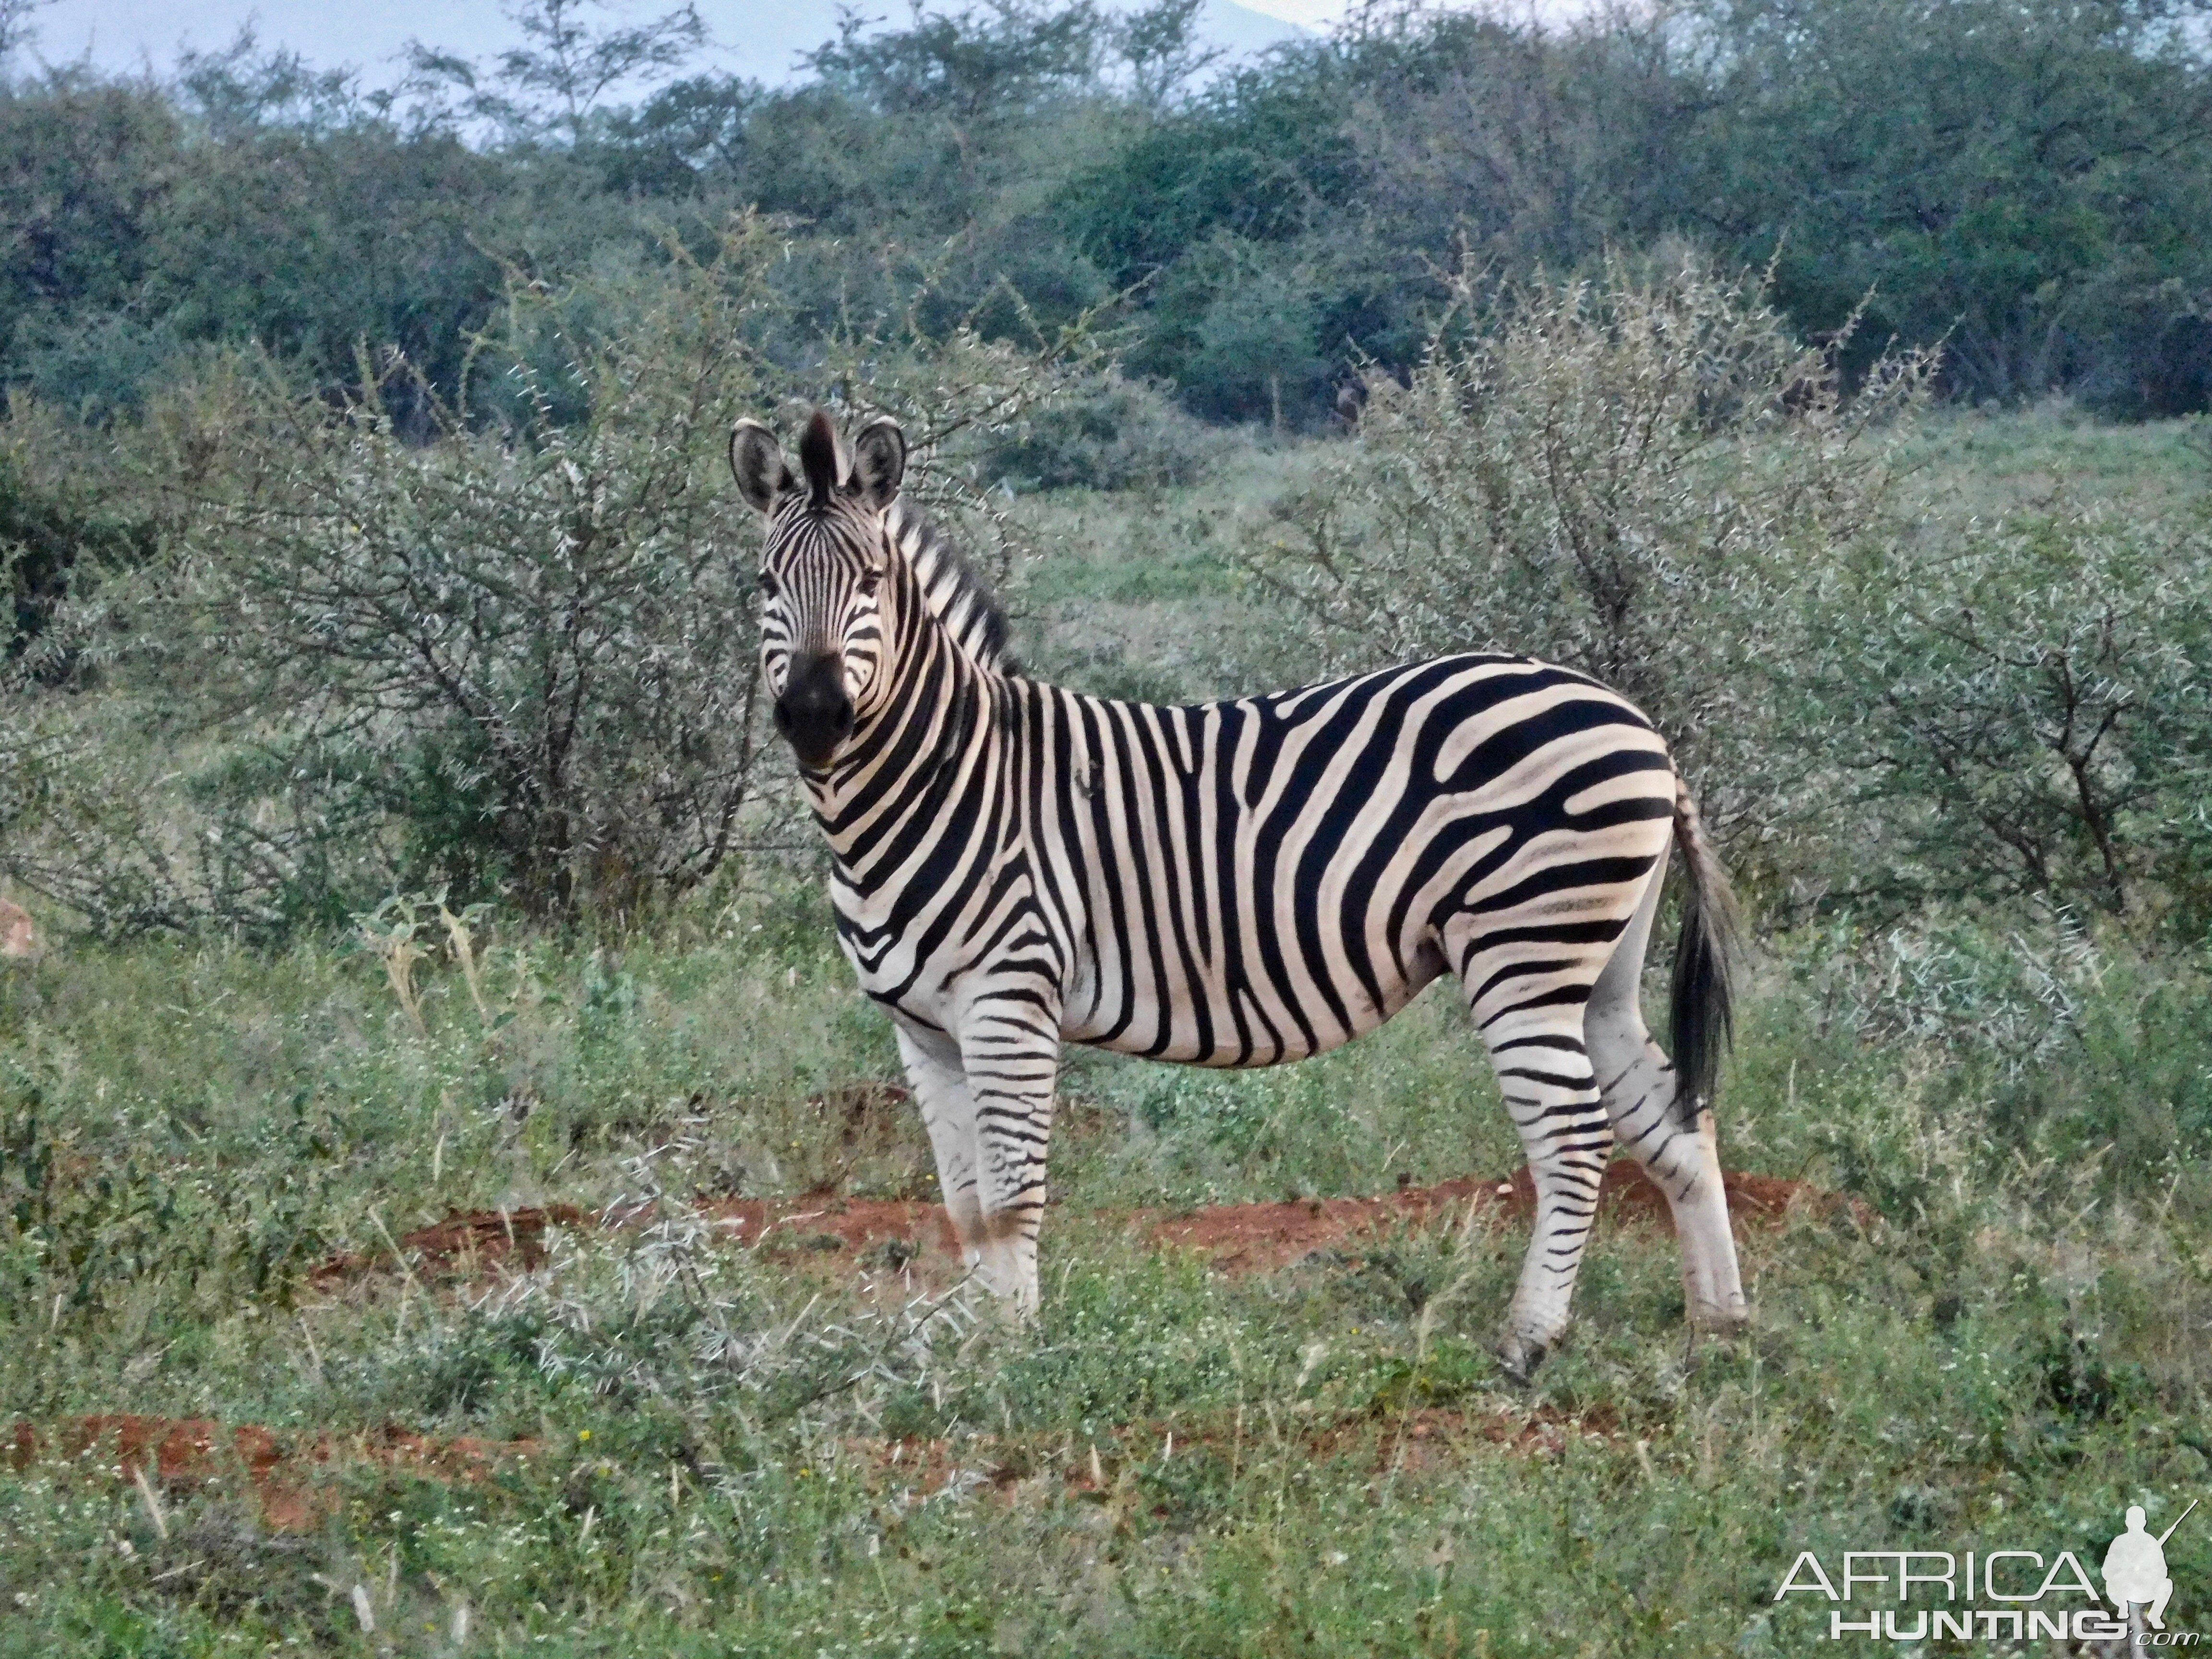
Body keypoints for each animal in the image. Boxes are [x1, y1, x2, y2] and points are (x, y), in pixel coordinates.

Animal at [734, 407, 1752, 1380]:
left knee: (1574, 1139)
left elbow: (1014, 1194)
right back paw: (1717, 1331)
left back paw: (1527, 1341)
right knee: (1674, 1119)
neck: (941, 782)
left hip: (1524, 949)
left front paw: (1016, 1351)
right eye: (765, 585)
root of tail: (1638, 724)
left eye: (871, 581)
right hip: (1597, 967)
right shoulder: (922, 1030)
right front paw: (976, 1344)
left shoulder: (1009, 1001)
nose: (816, 717)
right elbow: (968, 1204)